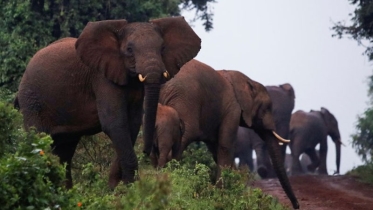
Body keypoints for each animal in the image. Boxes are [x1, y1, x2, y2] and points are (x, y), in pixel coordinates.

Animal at [14, 16, 201, 189]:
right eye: (129, 49)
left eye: (162, 49)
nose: (146, 151)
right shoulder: (102, 78)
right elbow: (115, 124)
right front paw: (128, 188)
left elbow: (131, 124)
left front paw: (116, 188)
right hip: (32, 101)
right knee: (39, 140)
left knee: (65, 149)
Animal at [157, 60, 300, 209]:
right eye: (267, 108)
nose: (296, 205)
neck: (247, 80)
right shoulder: (233, 109)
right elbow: (225, 146)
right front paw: (222, 193)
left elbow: (216, 149)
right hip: (184, 101)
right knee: (181, 140)